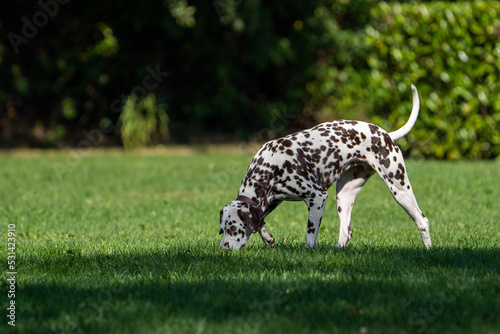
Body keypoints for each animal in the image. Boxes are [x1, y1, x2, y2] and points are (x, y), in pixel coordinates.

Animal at [217, 85, 432, 249]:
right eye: (222, 229)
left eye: (234, 229)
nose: (222, 250)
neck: (271, 166)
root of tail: (385, 134)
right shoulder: (271, 201)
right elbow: (260, 222)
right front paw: (269, 239)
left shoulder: (317, 198)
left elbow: (310, 235)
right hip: (344, 197)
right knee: (346, 232)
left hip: (400, 189)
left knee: (422, 221)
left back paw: (428, 249)